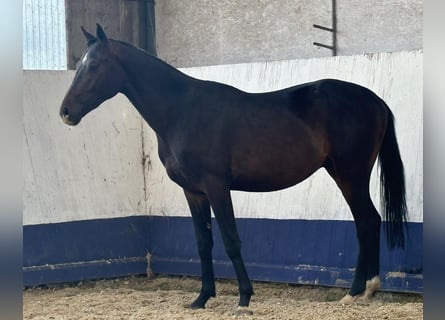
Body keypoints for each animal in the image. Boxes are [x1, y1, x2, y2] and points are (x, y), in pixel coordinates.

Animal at [59, 24, 406, 310]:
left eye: (93, 66)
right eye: (79, 66)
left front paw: (244, 297)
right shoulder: (193, 192)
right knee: (368, 221)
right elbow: (203, 243)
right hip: (342, 173)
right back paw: (363, 291)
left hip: (351, 174)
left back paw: (357, 291)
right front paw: (201, 298)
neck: (182, 110)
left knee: (367, 222)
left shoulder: (216, 186)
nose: (65, 112)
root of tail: (375, 100)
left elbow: (230, 240)